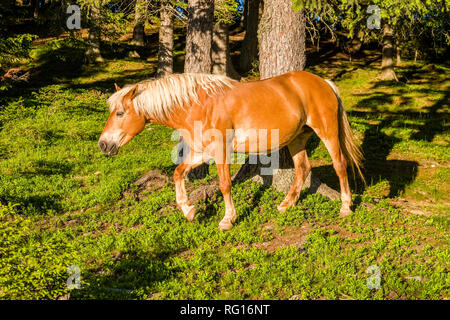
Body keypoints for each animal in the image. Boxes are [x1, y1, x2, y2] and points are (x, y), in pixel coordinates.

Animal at [99, 71, 366, 230]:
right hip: (297, 139)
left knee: (340, 165)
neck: (198, 105)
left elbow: (225, 184)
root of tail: (323, 82)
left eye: (120, 113)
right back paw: (286, 205)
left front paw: (228, 219)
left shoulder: (221, 152)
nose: (103, 144)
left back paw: (345, 207)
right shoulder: (202, 153)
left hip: (327, 132)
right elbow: (178, 173)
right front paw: (189, 210)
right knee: (303, 168)